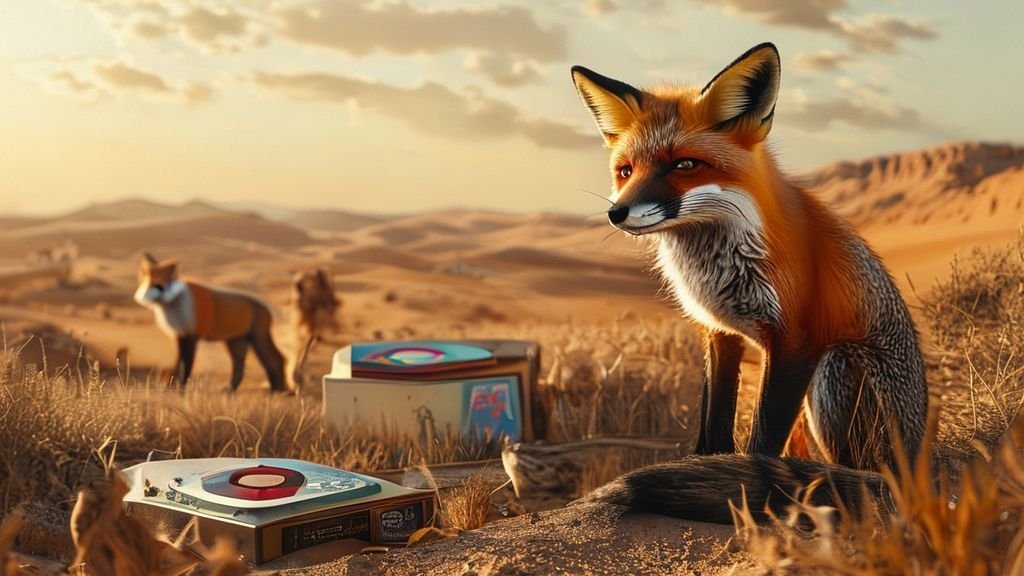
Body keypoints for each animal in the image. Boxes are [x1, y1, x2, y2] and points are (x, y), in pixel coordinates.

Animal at [134, 253, 288, 392]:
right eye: (145, 280)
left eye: (158, 285)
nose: (143, 297)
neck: (174, 306)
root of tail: (267, 308)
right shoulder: (180, 335)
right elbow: (178, 364)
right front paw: (170, 388)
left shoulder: (192, 336)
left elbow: (187, 365)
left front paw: (181, 390)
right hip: (235, 343)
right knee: (240, 368)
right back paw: (230, 389)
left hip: (258, 340)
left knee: (276, 359)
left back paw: (278, 390)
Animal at [570, 43, 928, 522]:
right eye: (625, 171)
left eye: (685, 165)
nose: (616, 213)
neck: (718, 264)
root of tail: (916, 465)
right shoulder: (719, 331)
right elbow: (714, 422)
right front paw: (710, 468)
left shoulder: (797, 339)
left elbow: (762, 438)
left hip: (834, 368)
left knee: (854, 472)